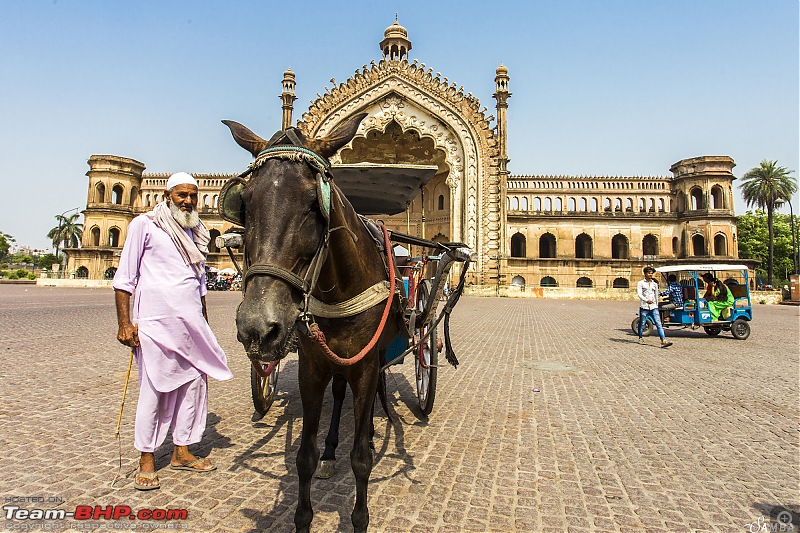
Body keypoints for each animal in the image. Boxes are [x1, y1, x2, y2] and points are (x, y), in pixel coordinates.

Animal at [222, 113, 400, 532]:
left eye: (314, 204)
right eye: (244, 203)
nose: (258, 325)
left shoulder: (366, 364)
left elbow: (362, 459)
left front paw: (359, 518)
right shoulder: (311, 364)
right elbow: (304, 455)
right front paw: (303, 515)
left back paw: (369, 432)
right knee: (338, 393)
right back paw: (332, 451)